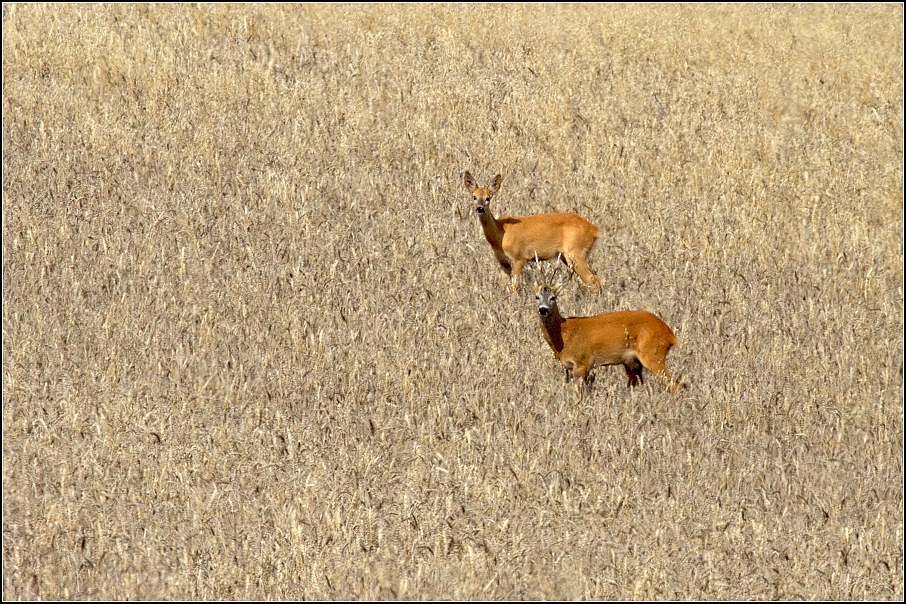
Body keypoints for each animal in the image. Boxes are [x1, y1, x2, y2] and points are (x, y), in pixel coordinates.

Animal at [466, 170, 600, 292]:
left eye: (488, 198)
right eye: (474, 197)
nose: (480, 208)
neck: (500, 235)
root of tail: (595, 230)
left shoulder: (519, 257)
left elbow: (514, 287)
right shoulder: (503, 262)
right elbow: (501, 287)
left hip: (576, 252)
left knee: (594, 280)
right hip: (567, 256)